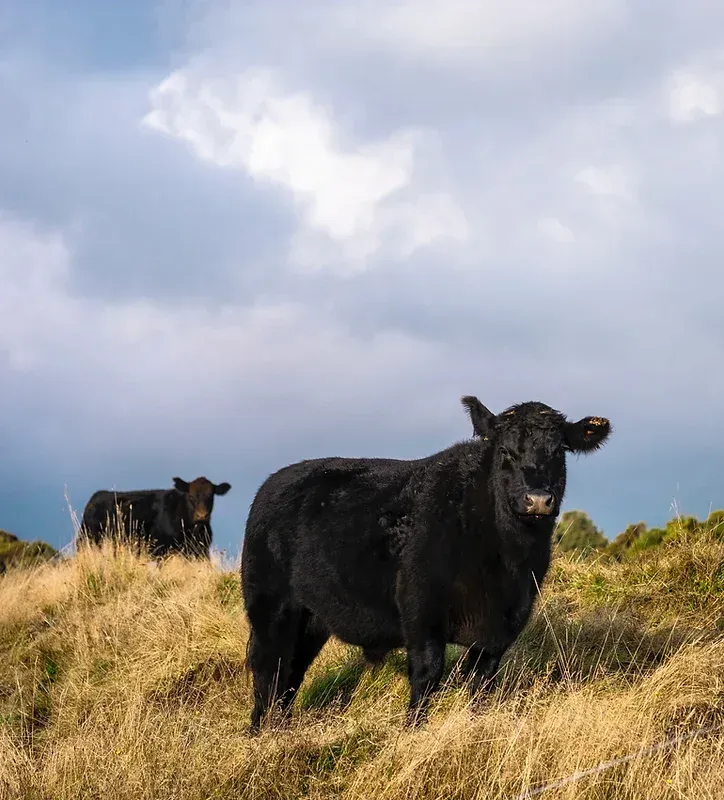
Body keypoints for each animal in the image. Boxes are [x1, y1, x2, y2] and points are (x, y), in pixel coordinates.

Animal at [77, 476, 229, 556]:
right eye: (190, 496)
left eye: (211, 496)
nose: (202, 515)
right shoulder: (161, 549)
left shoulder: (200, 551)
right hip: (88, 540)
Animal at [242, 396, 612, 728]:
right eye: (506, 451)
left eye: (558, 451)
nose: (537, 499)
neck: (505, 560)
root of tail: (276, 480)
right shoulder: (421, 610)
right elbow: (427, 675)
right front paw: (413, 729)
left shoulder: (504, 625)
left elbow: (482, 684)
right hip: (272, 608)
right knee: (269, 668)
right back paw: (262, 731)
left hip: (313, 619)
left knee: (292, 674)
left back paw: (281, 727)